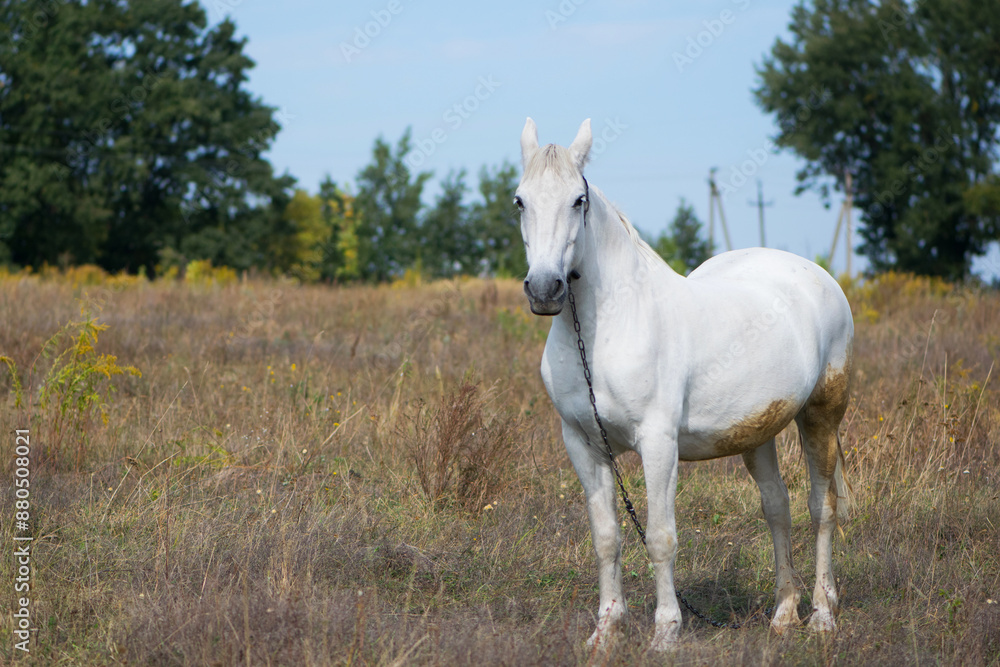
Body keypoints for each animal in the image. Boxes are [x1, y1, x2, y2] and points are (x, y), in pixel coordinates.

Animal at [515, 118, 853, 651]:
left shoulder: (658, 443)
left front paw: (665, 632)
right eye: (520, 201)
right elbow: (606, 537)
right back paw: (782, 615)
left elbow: (660, 537)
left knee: (821, 507)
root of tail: (818, 276)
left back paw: (821, 615)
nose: (546, 289)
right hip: (757, 431)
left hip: (821, 415)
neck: (609, 325)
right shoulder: (584, 444)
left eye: (578, 200)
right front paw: (605, 631)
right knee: (777, 508)